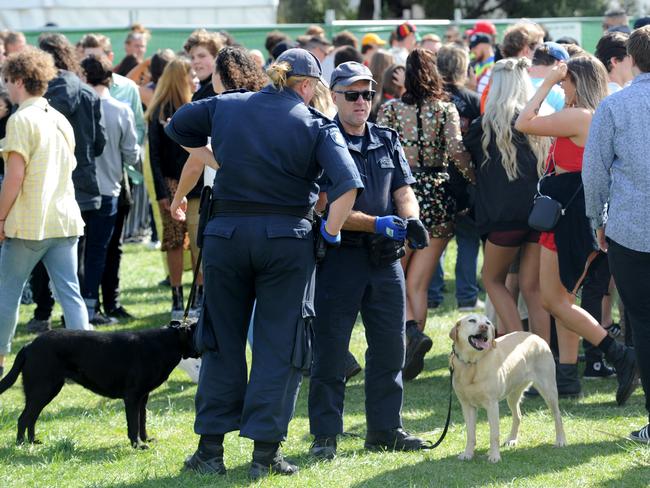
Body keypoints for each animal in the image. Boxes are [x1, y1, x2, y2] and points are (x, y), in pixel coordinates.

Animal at [0, 322, 197, 448]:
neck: (166, 343)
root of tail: (29, 345)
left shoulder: (143, 397)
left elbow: (142, 422)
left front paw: (145, 440)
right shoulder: (132, 397)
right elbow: (133, 424)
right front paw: (137, 445)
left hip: (47, 391)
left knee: (31, 418)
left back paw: (33, 442)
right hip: (42, 389)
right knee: (24, 418)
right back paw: (21, 445)